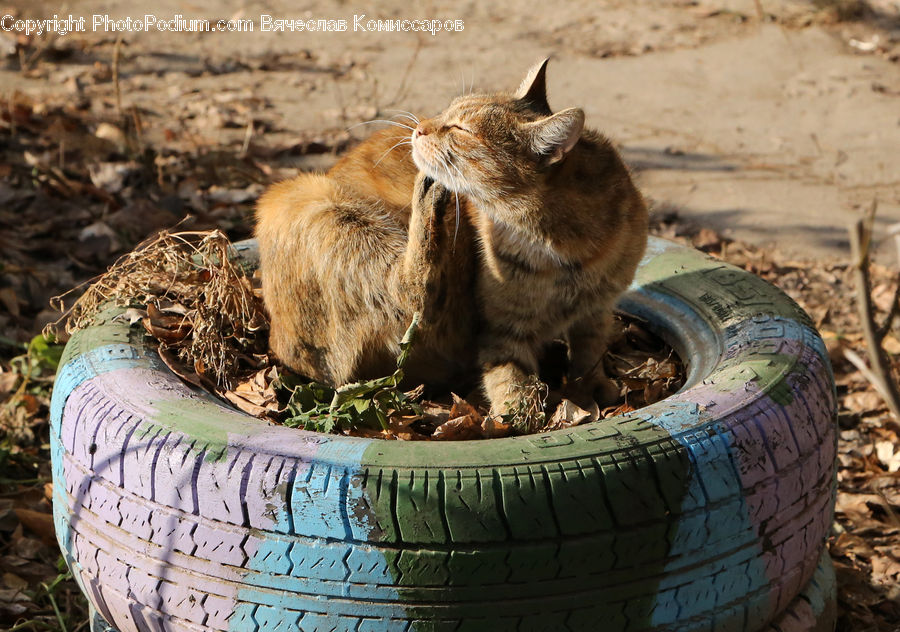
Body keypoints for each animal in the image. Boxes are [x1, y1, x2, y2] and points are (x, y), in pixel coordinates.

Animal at [253, 59, 648, 430]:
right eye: (447, 113)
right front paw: (515, 423)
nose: (418, 128)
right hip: (311, 197)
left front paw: (591, 389)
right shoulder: (501, 332)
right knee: (413, 296)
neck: (563, 251)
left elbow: (588, 354)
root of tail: (276, 340)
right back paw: (428, 195)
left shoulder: (596, 310)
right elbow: (514, 389)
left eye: (460, 129)